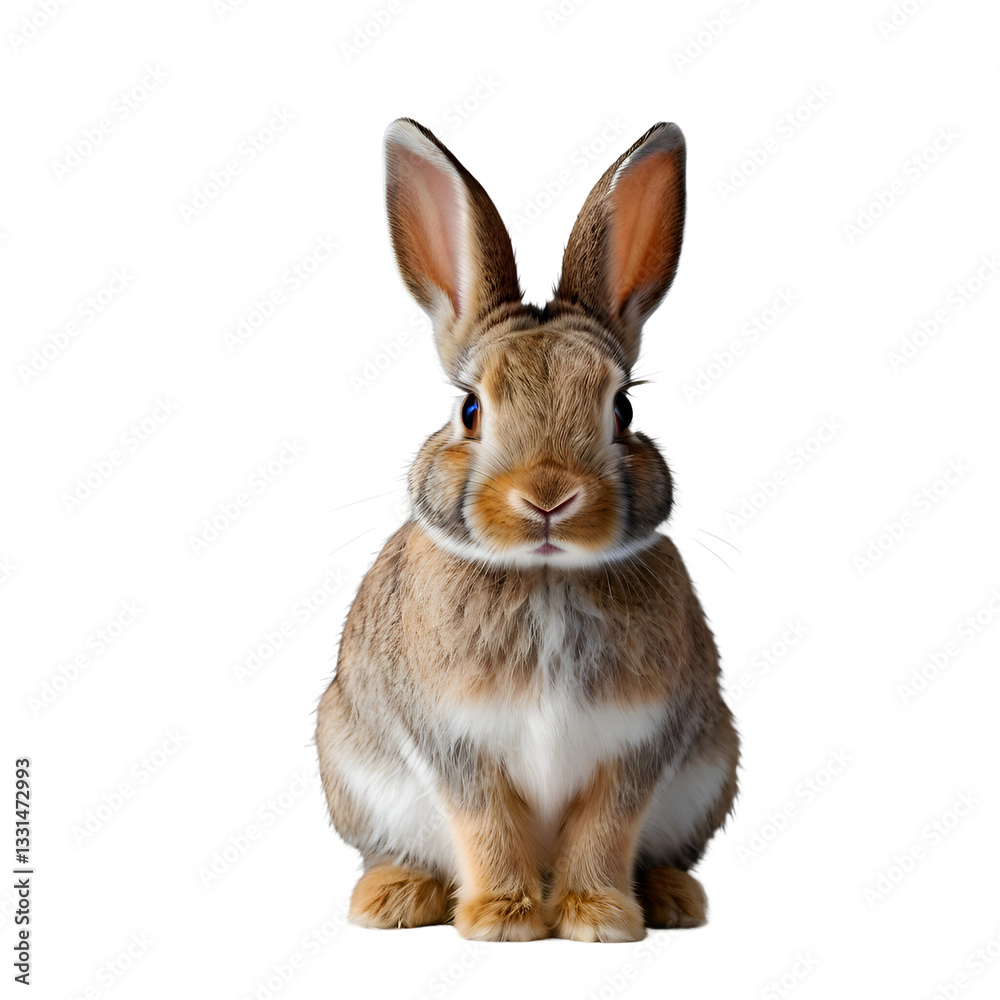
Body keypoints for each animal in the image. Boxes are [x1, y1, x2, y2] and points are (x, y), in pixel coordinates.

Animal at [316, 118, 739, 942]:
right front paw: (502, 921)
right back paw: (393, 898)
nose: (549, 497)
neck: (546, 576)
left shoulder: (637, 746)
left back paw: (674, 898)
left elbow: (605, 830)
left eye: (624, 409)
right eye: (470, 409)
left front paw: (599, 920)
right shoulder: (455, 746)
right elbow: (487, 826)